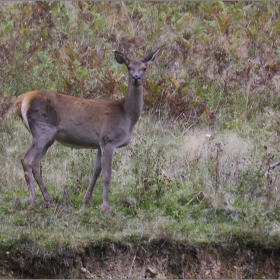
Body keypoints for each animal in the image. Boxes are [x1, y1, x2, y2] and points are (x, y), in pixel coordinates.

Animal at [14, 48, 160, 211]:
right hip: (42, 129)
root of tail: (21, 100)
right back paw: (34, 200)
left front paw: (86, 200)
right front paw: (105, 207)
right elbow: (107, 175)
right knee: (27, 160)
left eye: (144, 68)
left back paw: (48, 199)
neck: (126, 115)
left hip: (48, 138)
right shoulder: (109, 139)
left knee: (36, 164)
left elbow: (96, 171)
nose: (136, 77)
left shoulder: (99, 143)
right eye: (128, 67)